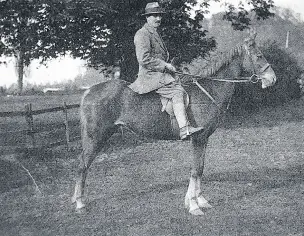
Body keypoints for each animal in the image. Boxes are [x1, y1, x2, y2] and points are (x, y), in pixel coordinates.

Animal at [72, 32, 276, 216]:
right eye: (259, 55)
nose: (272, 78)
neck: (208, 90)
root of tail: (89, 91)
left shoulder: (204, 139)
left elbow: (200, 168)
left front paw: (200, 200)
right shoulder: (198, 138)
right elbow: (195, 169)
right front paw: (193, 206)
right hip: (95, 137)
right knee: (82, 165)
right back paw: (80, 204)